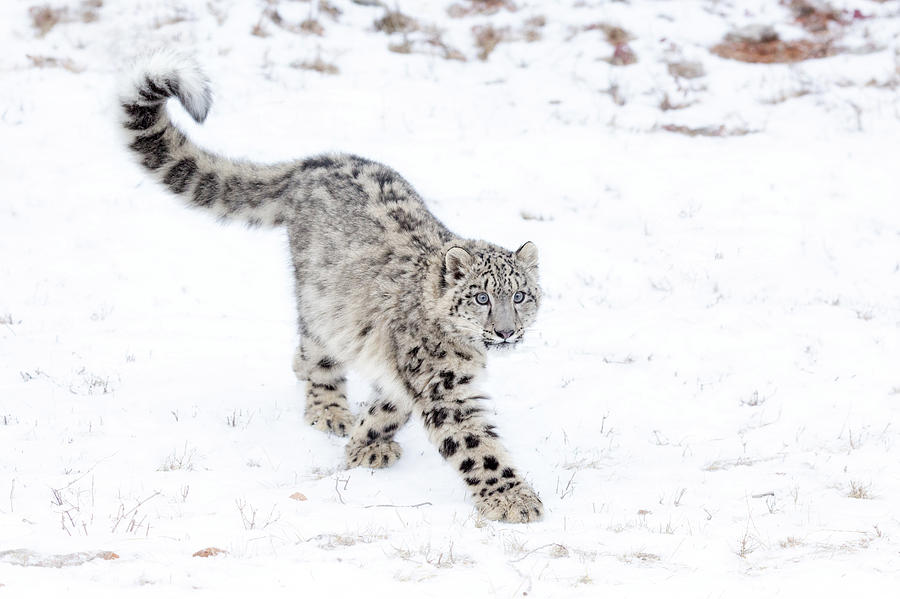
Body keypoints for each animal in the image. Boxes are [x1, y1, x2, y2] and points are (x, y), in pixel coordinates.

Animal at [119, 50, 543, 523]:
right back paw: (328, 409)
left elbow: (388, 406)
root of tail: (314, 162)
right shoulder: (443, 386)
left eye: (520, 295)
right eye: (482, 296)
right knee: (319, 353)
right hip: (319, 301)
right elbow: (476, 446)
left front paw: (365, 444)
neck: (467, 351)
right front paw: (514, 500)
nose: (506, 331)